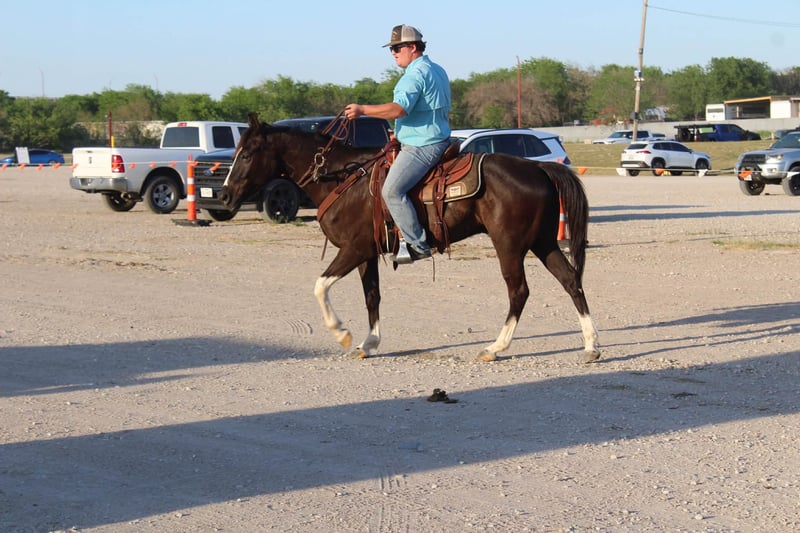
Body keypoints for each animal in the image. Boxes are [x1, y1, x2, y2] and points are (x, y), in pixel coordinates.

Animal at [219, 113, 600, 363]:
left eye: (248, 153)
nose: (223, 195)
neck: (341, 179)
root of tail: (538, 167)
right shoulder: (367, 253)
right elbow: (372, 296)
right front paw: (368, 344)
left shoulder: (353, 248)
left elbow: (320, 286)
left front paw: (342, 333)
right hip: (543, 243)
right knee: (571, 280)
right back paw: (591, 346)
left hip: (510, 245)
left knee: (519, 291)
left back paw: (496, 348)